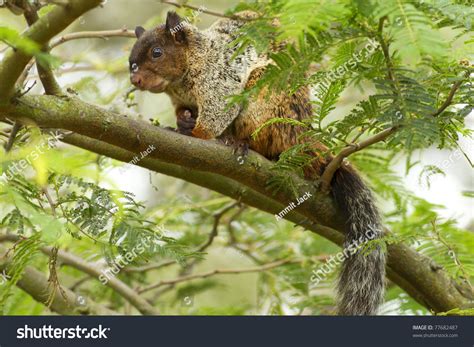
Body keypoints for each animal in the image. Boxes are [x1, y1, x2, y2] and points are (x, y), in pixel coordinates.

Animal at [129, 11, 386, 316]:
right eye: (132, 60)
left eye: (157, 52)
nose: (135, 79)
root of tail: (300, 136)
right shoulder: (180, 100)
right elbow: (183, 111)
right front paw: (181, 122)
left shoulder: (220, 83)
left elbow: (216, 115)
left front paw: (196, 134)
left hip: (265, 96)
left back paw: (240, 142)